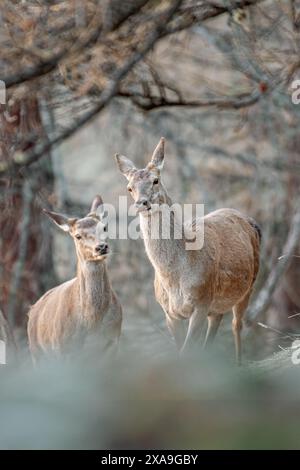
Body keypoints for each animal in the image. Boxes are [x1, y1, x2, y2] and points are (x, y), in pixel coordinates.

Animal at [27, 195, 122, 360]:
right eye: (78, 236)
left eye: (104, 227)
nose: (101, 247)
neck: (92, 323)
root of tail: (32, 310)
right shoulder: (63, 348)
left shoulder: (114, 341)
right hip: (36, 351)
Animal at [115, 136, 260, 364]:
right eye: (129, 188)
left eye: (155, 180)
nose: (142, 203)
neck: (175, 279)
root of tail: (251, 221)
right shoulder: (169, 312)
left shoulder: (201, 302)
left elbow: (187, 351)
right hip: (217, 305)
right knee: (216, 328)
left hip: (249, 284)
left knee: (237, 324)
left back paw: (239, 363)